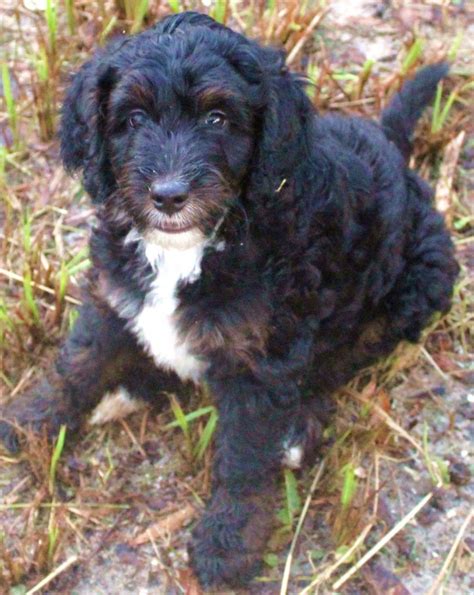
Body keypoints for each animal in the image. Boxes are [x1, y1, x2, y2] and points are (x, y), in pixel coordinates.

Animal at [0, 10, 460, 592]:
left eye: (218, 118)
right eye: (132, 119)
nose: (169, 196)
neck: (192, 247)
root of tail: (390, 143)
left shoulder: (261, 357)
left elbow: (243, 458)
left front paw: (227, 545)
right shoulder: (114, 293)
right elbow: (78, 361)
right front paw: (32, 420)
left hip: (418, 282)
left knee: (347, 356)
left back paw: (297, 424)